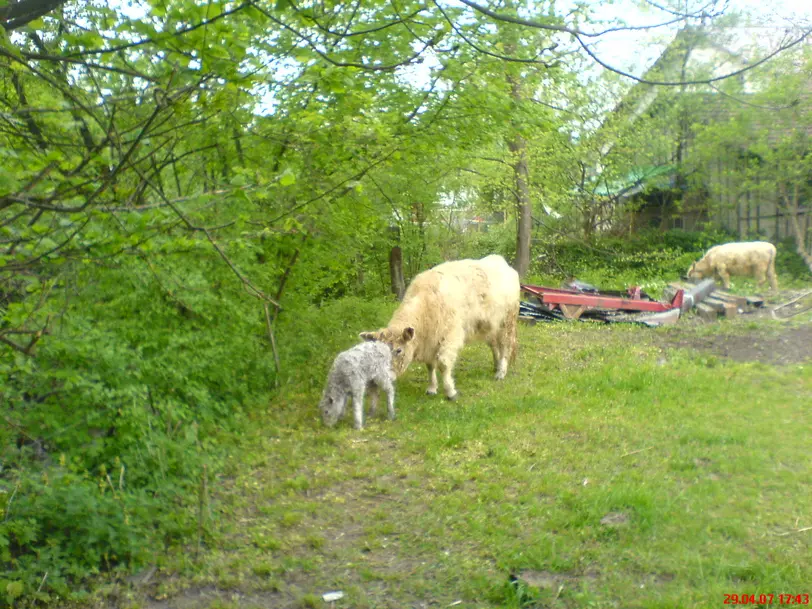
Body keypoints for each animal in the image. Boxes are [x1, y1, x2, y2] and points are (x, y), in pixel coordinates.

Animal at [362, 254, 520, 402]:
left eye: (398, 350)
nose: (384, 378)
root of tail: (500, 260)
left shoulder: (451, 336)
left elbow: (443, 364)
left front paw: (450, 392)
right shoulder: (430, 341)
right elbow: (430, 366)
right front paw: (432, 388)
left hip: (507, 322)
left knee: (505, 346)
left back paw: (501, 372)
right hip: (491, 326)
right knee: (494, 345)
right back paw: (496, 366)